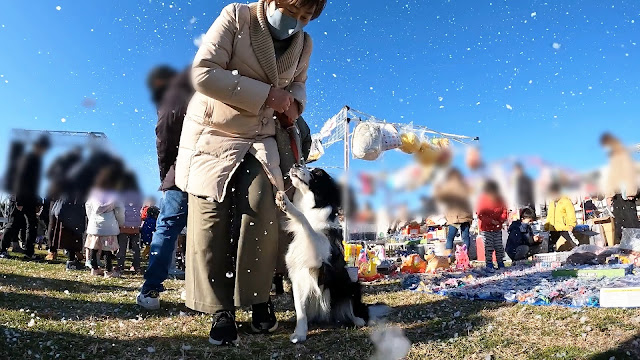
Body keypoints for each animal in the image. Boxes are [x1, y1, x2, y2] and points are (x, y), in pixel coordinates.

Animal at [274, 165, 384, 344]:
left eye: (318, 173)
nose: (296, 165)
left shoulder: (318, 259)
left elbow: (303, 219)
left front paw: (287, 205)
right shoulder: (297, 276)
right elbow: (300, 309)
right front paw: (300, 333)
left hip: (352, 283)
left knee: (359, 310)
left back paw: (358, 320)